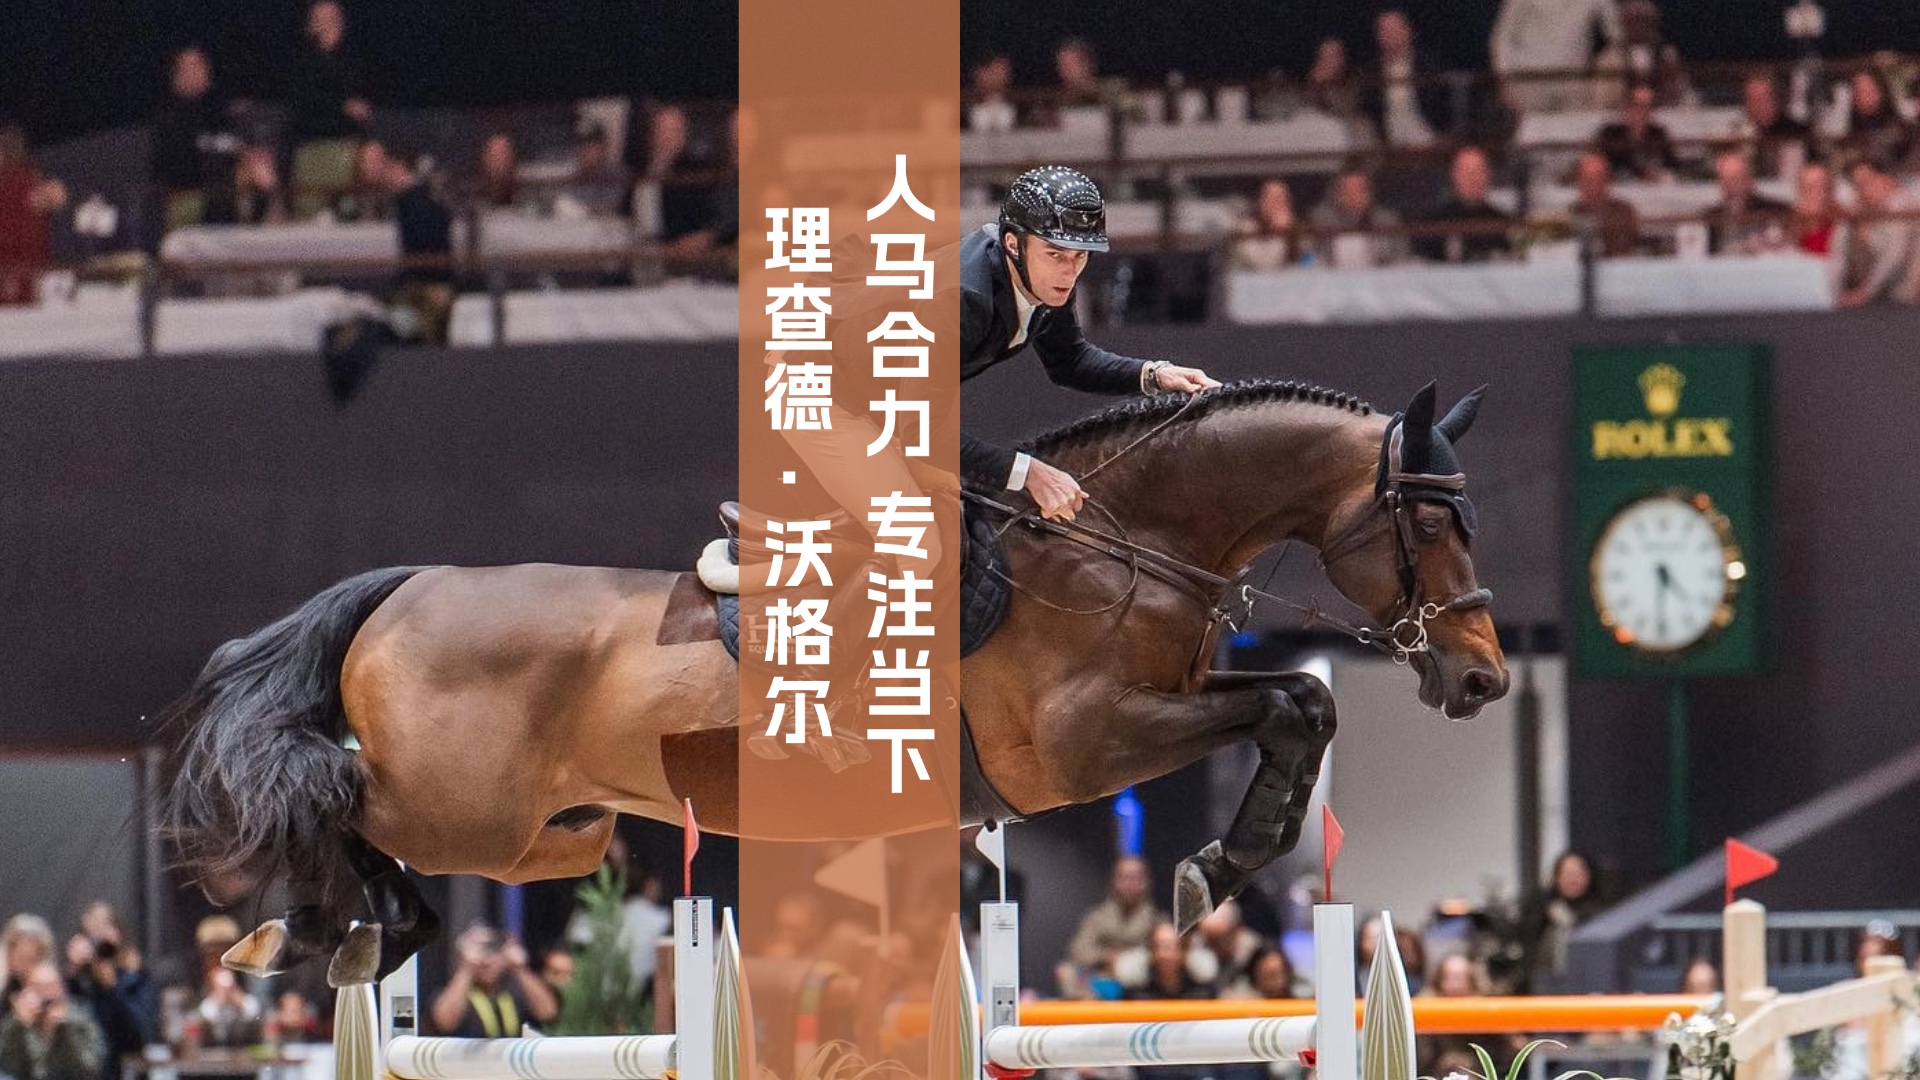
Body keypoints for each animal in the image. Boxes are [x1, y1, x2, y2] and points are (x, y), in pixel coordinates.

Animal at [159, 379, 1507, 984]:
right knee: (330, 795)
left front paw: (1224, 862)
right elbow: (1293, 701)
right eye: (1434, 524)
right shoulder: (1084, 747)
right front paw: (1214, 867)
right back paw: (305, 931)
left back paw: (355, 934)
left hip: (553, 835)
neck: (1122, 545)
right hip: (470, 813)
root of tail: (408, 585)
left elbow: (1302, 705)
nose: (1485, 678)